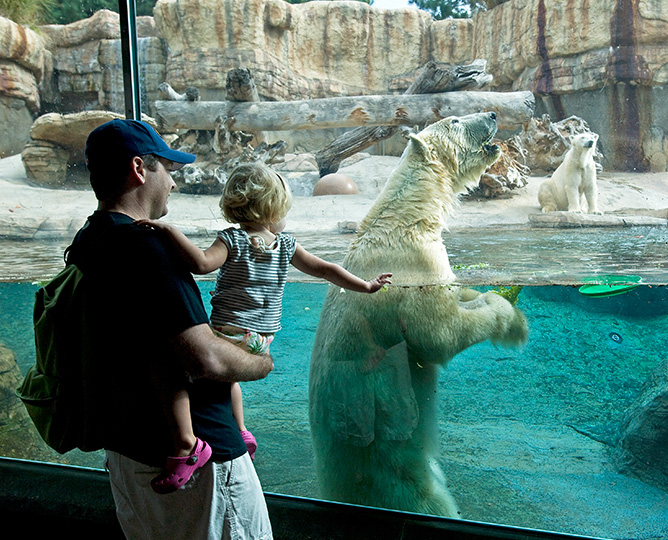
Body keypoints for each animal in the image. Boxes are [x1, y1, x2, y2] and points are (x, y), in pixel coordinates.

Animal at [308, 110, 528, 520]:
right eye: (455, 120)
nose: (492, 114)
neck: (402, 218)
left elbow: (457, 295)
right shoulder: (412, 271)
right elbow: (439, 334)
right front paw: (505, 311)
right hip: (389, 467)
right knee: (427, 499)